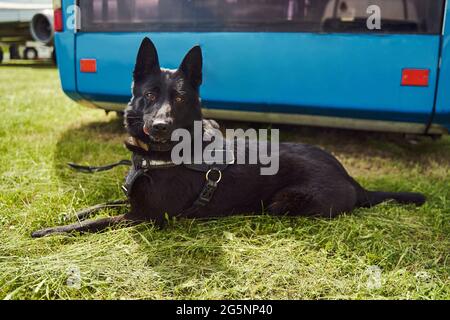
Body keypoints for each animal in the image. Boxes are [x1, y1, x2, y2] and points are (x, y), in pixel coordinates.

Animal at [31, 37, 426, 238]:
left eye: (178, 99)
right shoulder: (132, 203)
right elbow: (102, 204)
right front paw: (74, 209)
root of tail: (352, 180)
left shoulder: (145, 217)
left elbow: (96, 222)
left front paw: (52, 230)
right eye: (149, 95)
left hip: (282, 202)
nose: (159, 126)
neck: (161, 156)